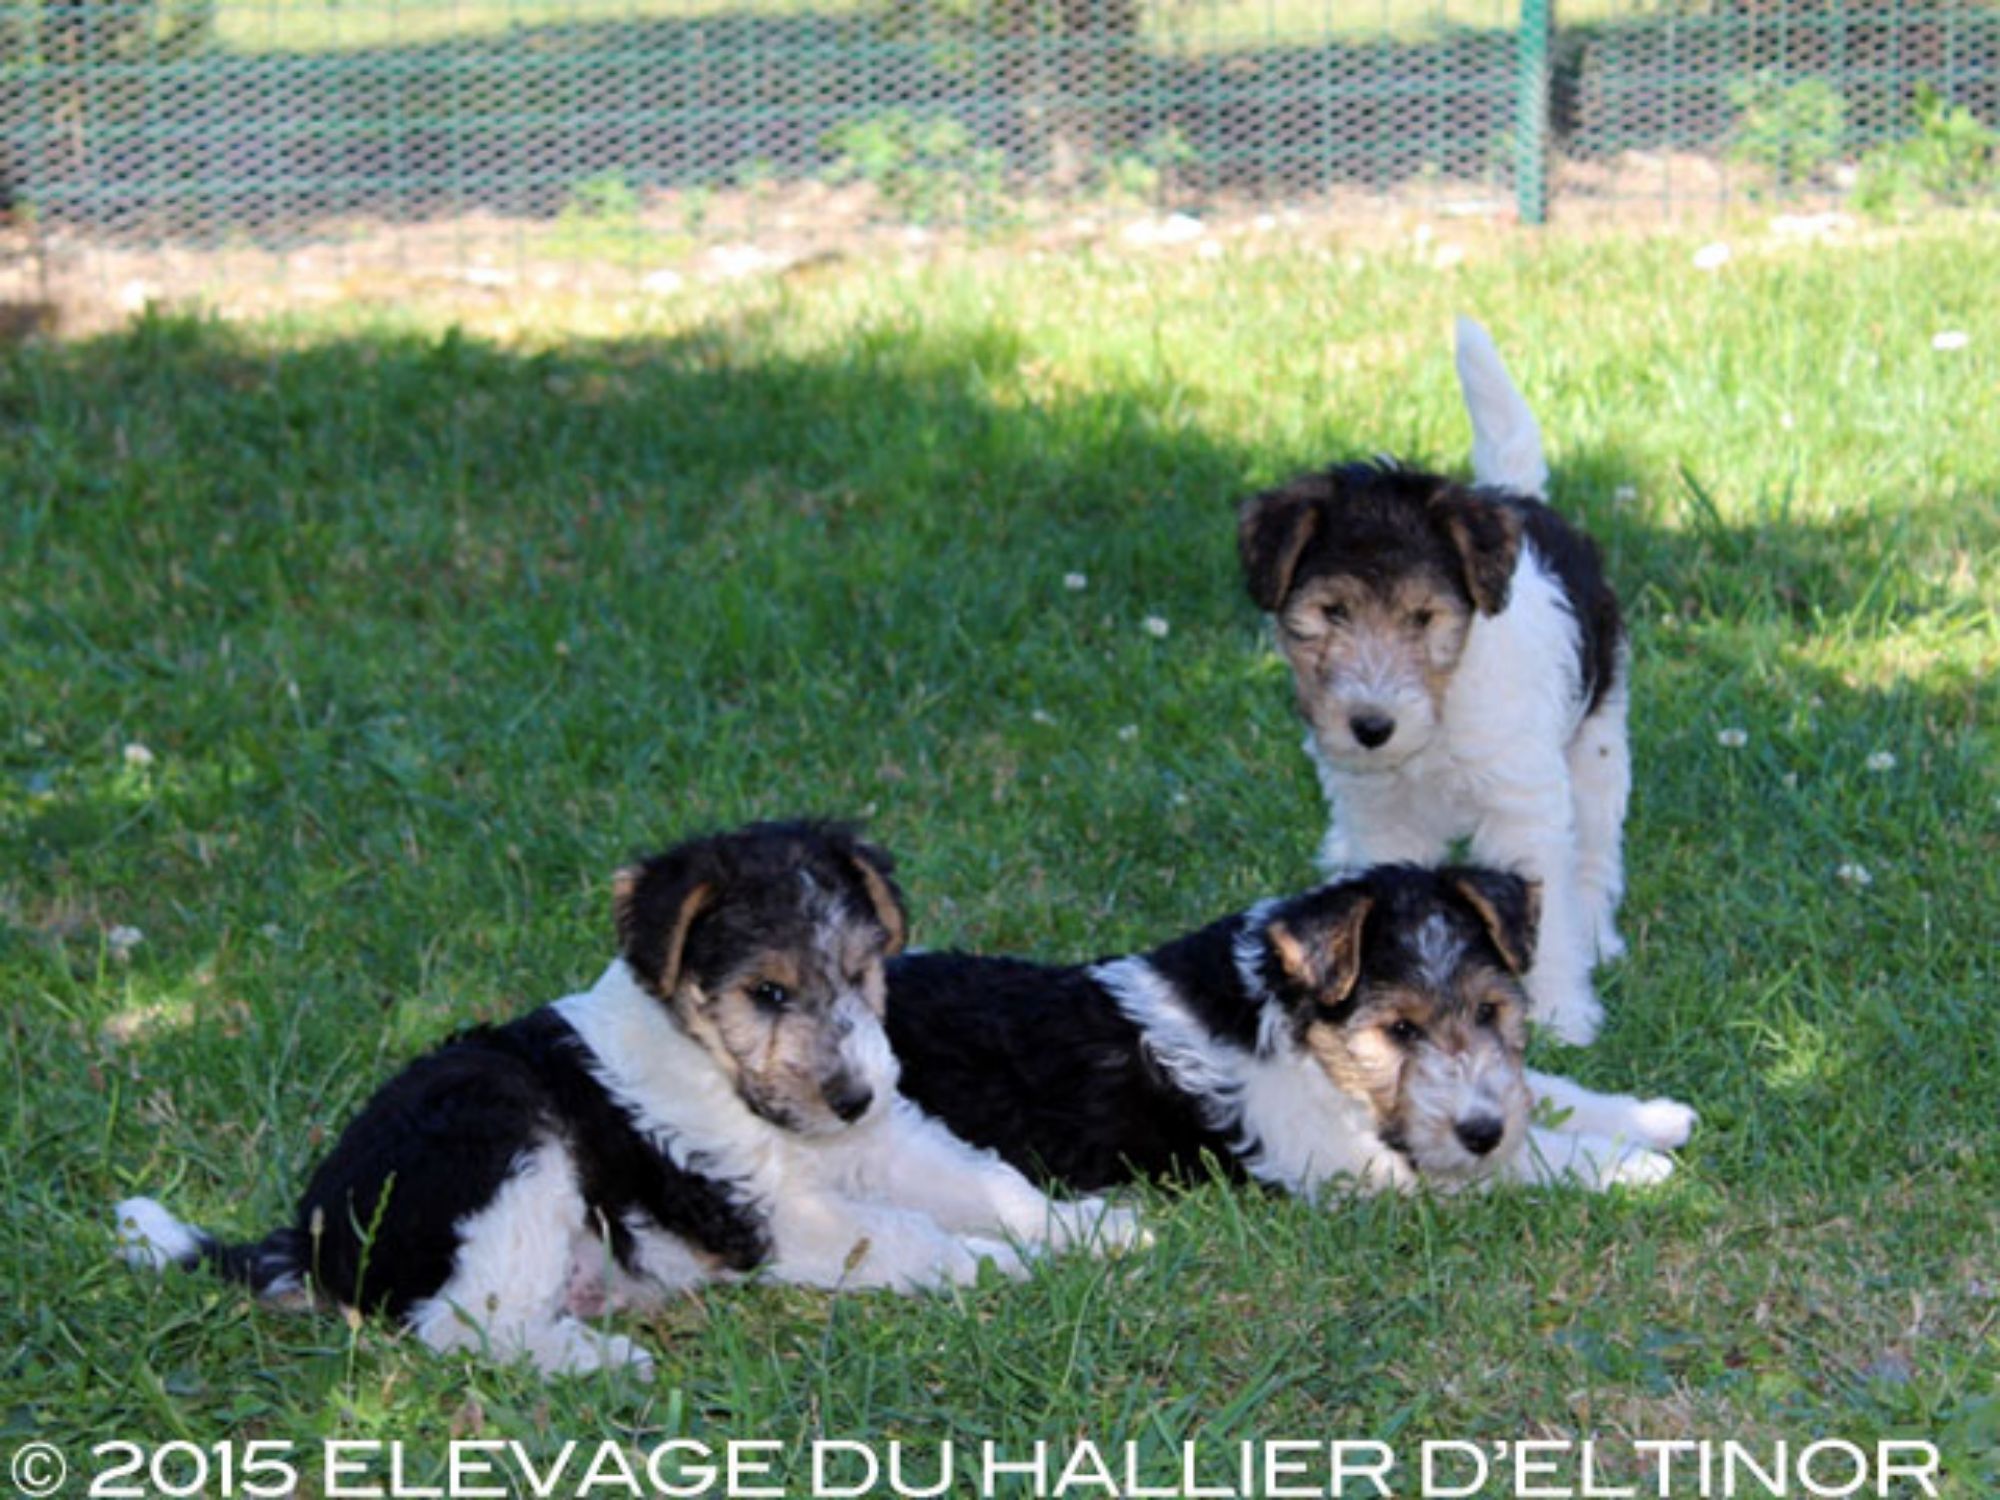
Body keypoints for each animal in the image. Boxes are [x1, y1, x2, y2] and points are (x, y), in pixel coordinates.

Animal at [115, 822, 1142, 1378]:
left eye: (861, 971)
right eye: (767, 992)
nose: (853, 1095)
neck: (712, 1063)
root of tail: (311, 1236)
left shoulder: (887, 1142)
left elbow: (991, 1182)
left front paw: (1091, 1228)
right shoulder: (772, 1212)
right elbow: (907, 1234)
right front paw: (996, 1265)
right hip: (504, 1139)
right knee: (465, 1324)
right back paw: (603, 1364)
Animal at [886, 863, 1694, 1199]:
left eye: (1491, 1010)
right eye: (1398, 1028)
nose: (1481, 1130)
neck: (1302, 1034)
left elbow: (1544, 1090)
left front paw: (1651, 1117)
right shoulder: (1348, 1164)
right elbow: (1528, 1158)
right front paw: (1632, 1168)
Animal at [1236, 317, 1627, 1045]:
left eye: (1424, 617)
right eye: (1332, 612)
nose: (1371, 727)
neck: (1439, 715)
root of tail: (1517, 497)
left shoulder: (1522, 805)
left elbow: (1544, 908)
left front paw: (1562, 1012)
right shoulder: (1380, 810)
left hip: (1599, 736)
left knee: (1594, 849)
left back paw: (1597, 933)